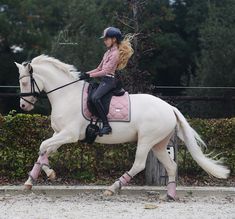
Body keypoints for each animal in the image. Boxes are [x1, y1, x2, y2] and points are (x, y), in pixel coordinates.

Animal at [14, 54, 229, 200]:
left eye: (24, 82)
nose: (24, 106)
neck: (66, 95)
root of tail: (169, 108)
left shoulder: (69, 134)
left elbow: (42, 146)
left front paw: (48, 174)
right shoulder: (59, 133)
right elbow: (44, 150)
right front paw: (31, 181)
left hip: (146, 140)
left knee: (139, 164)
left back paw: (112, 188)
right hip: (159, 144)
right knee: (171, 166)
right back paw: (169, 195)